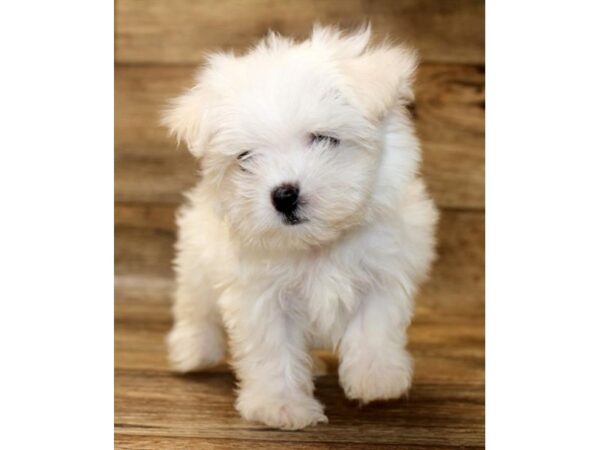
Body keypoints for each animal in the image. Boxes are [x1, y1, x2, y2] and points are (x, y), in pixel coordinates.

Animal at [162, 23, 438, 428]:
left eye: (322, 138)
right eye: (246, 157)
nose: (284, 195)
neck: (317, 243)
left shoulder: (386, 269)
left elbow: (375, 322)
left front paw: (376, 377)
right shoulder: (260, 294)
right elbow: (272, 348)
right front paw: (280, 406)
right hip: (197, 257)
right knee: (195, 306)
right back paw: (192, 350)